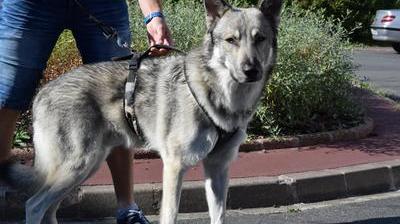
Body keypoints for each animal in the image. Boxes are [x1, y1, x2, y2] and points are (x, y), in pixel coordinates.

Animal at [0, 0, 282, 223]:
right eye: (231, 40)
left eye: (259, 39)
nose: (251, 71)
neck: (220, 96)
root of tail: (42, 92)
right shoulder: (175, 167)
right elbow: (170, 216)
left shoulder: (218, 169)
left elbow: (219, 216)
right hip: (77, 167)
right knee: (34, 206)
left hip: (84, 169)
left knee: (49, 209)